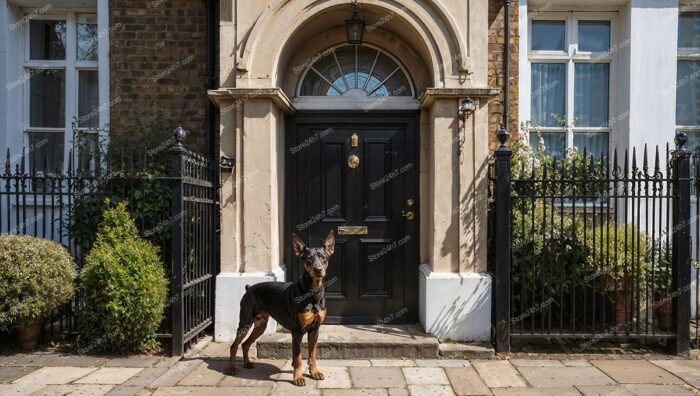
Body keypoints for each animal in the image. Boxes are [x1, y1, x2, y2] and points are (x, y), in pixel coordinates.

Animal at [226, 230, 332, 386]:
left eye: (323, 257)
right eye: (309, 258)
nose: (318, 270)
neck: (313, 293)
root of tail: (249, 288)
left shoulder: (315, 329)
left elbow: (312, 354)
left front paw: (314, 373)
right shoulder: (297, 331)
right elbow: (298, 357)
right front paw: (298, 378)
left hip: (261, 325)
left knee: (245, 344)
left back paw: (247, 363)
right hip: (245, 322)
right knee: (234, 345)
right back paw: (232, 368)